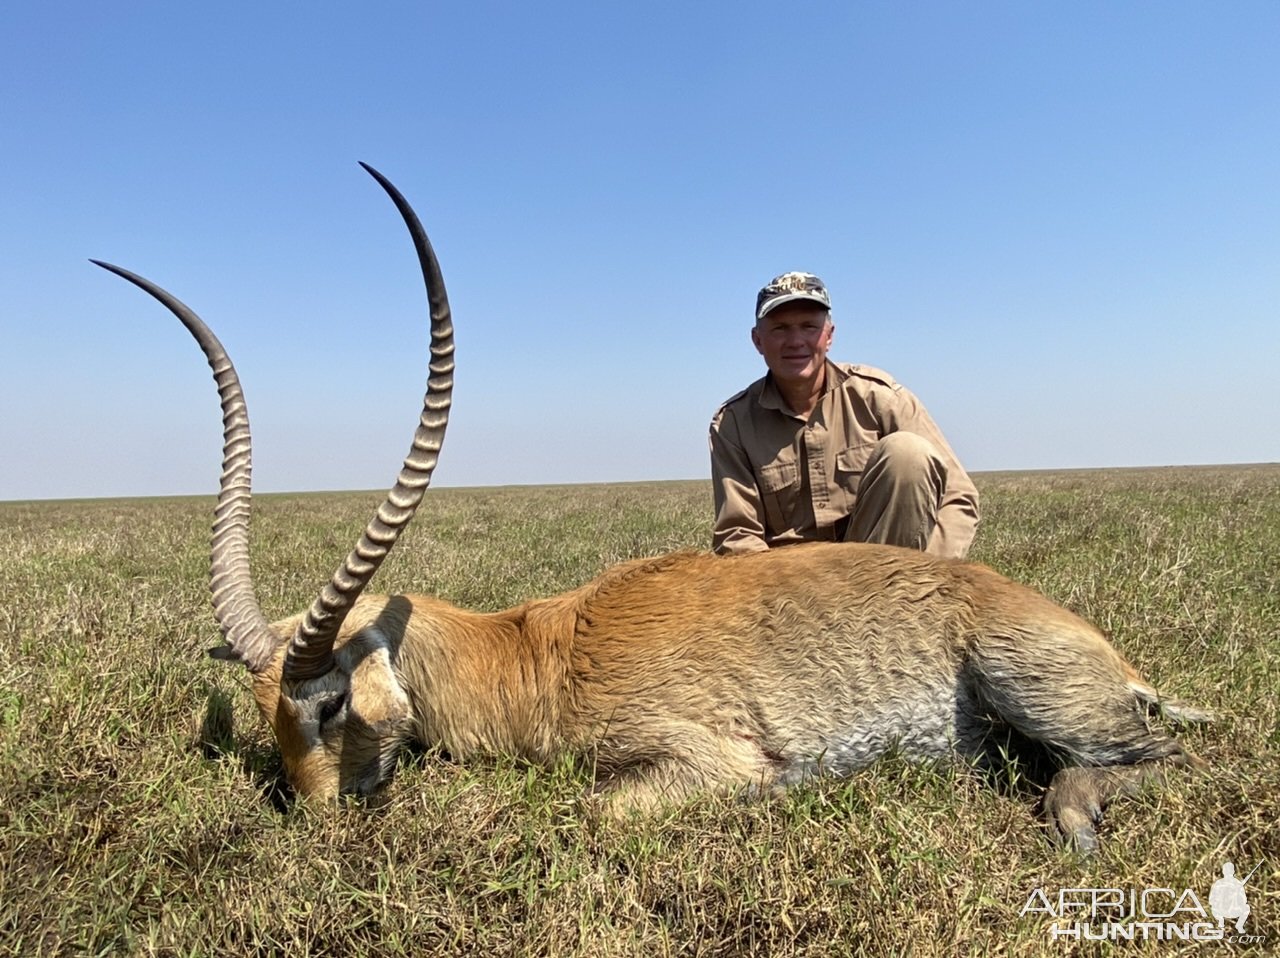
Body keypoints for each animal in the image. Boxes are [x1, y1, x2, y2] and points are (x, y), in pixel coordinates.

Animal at [94, 160, 1203, 850]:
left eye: (325, 704)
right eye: (263, 715)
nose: (317, 824)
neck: (536, 650)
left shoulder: (698, 760)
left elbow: (591, 808)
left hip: (1036, 689)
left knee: (1161, 755)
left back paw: (1074, 816)